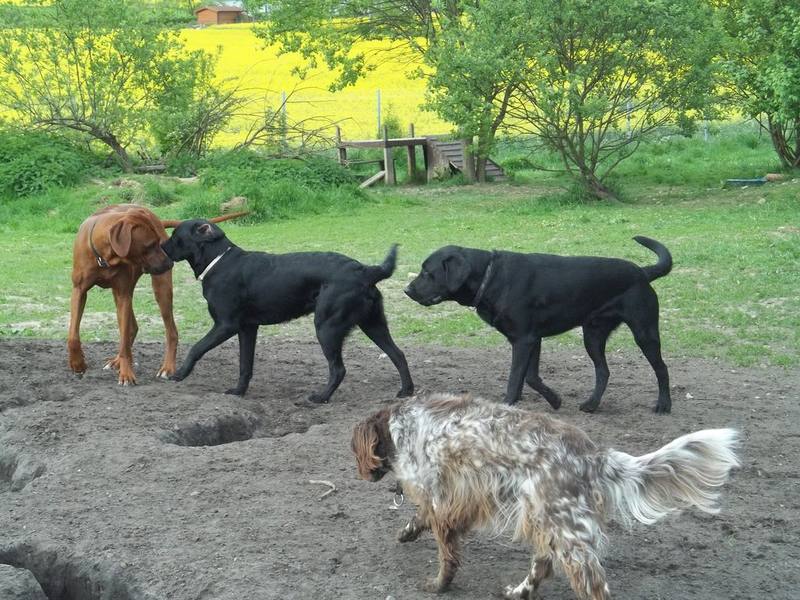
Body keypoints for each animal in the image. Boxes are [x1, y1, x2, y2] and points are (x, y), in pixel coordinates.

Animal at [68, 205, 244, 385]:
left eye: (157, 243)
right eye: (149, 245)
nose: (169, 263)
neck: (104, 257)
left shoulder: (123, 293)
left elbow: (123, 342)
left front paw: (126, 373)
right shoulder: (79, 290)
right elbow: (73, 335)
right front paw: (77, 364)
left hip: (161, 289)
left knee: (170, 331)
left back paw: (167, 367)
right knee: (131, 328)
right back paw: (116, 360)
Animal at [161, 219, 415, 401]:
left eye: (175, 236)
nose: (161, 246)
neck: (218, 261)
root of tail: (365, 270)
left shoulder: (226, 325)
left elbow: (196, 348)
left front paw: (179, 374)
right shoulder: (247, 328)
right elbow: (245, 365)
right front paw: (239, 392)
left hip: (327, 327)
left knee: (338, 369)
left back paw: (320, 398)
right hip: (373, 324)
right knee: (398, 354)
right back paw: (406, 391)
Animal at [352, 393, 739, 598]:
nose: (362, 473)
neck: (399, 427)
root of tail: (594, 456)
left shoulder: (440, 498)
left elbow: (446, 554)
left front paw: (438, 585)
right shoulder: (449, 501)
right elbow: (420, 520)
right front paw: (407, 533)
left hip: (569, 536)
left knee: (593, 585)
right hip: (546, 522)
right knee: (542, 567)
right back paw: (519, 591)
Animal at [405, 237, 673, 413]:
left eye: (427, 272)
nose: (406, 290)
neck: (490, 278)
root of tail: (642, 272)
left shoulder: (524, 340)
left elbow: (516, 379)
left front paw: (508, 405)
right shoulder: (532, 340)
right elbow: (531, 378)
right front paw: (554, 400)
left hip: (644, 331)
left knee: (661, 368)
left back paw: (663, 405)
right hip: (593, 335)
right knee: (603, 371)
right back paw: (591, 404)